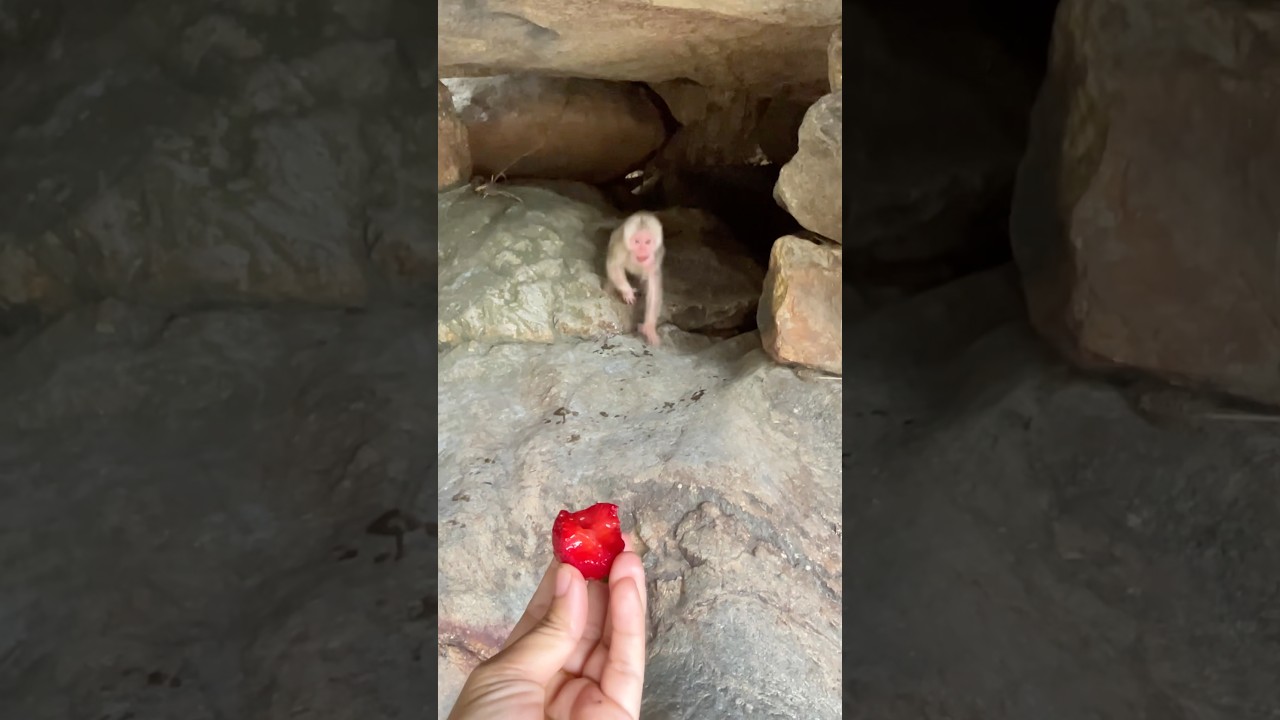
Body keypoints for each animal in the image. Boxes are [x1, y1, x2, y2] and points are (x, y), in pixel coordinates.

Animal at [605, 211, 664, 347]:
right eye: (637, 242)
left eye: (647, 242)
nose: (642, 250)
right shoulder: (620, 247)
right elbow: (613, 266)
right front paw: (627, 292)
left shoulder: (656, 255)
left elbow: (653, 285)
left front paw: (649, 327)